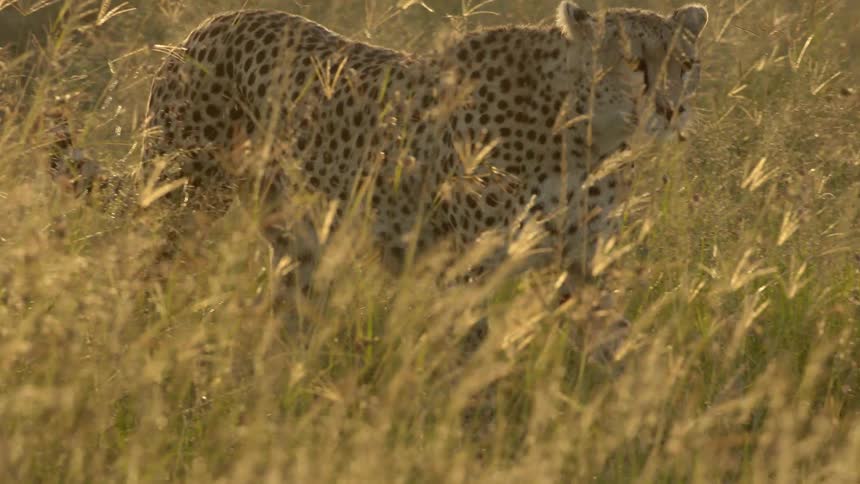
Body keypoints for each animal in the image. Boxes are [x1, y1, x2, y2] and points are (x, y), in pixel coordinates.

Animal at [139, 1, 708, 315]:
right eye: (633, 63)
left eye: (685, 64)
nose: (671, 108)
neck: (582, 134)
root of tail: (212, 21)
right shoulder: (467, 271)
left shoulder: (585, 263)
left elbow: (615, 349)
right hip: (182, 205)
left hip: (301, 240)